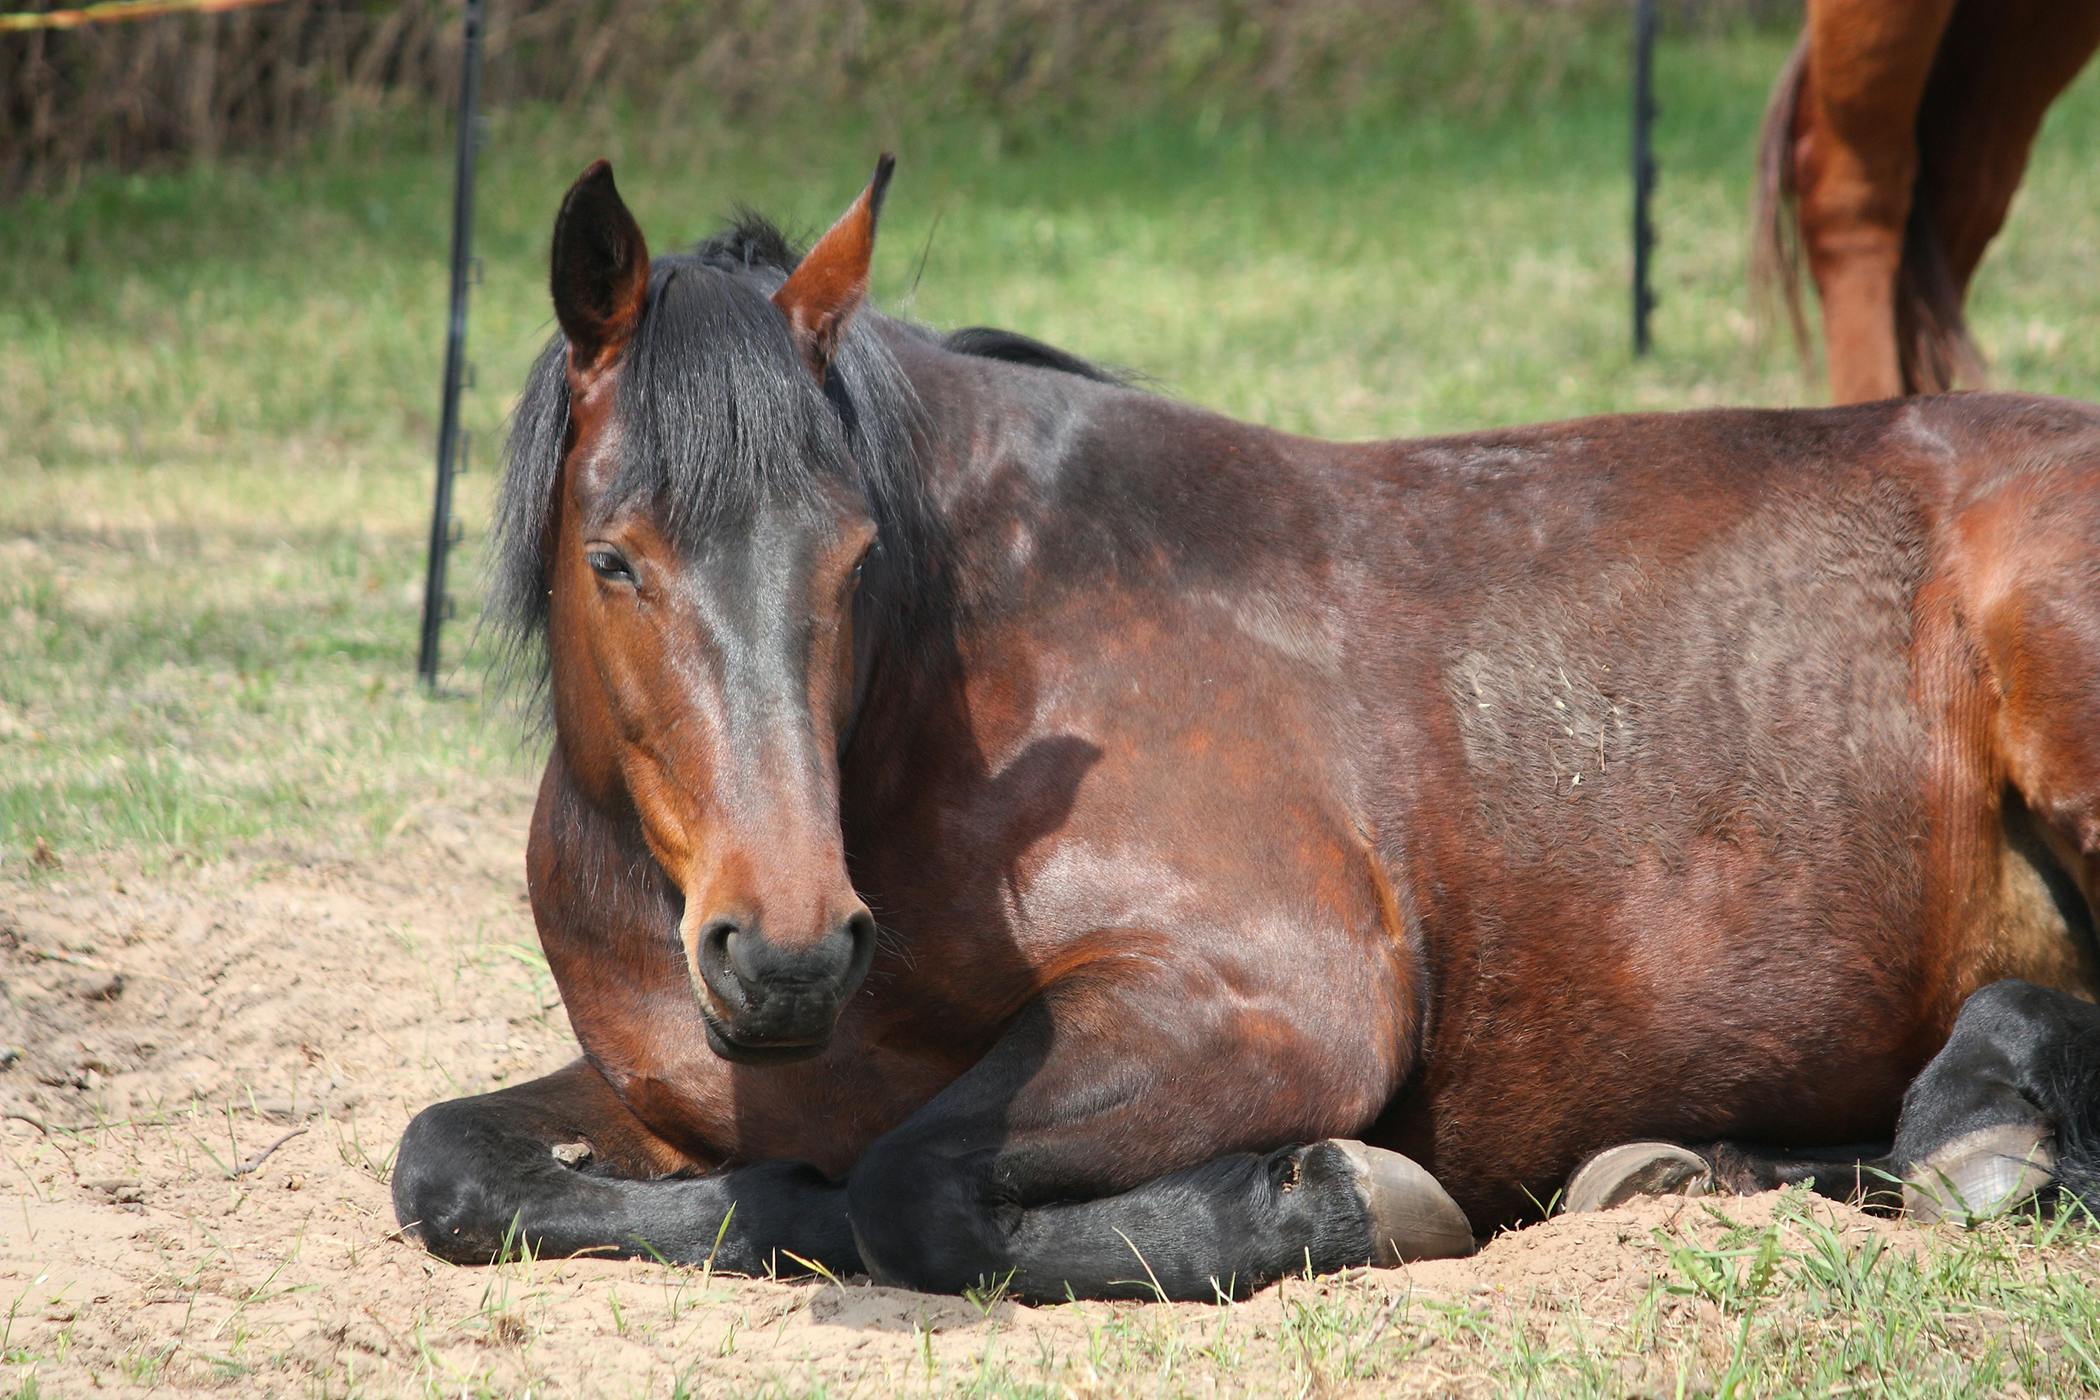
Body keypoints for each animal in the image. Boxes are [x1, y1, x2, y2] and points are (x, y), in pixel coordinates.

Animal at [394, 158, 2100, 1309]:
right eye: (614, 559)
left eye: (855, 556)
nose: (790, 953)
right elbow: (450, 1164)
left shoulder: (1285, 999)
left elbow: (905, 1186)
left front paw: (1326, 1200)